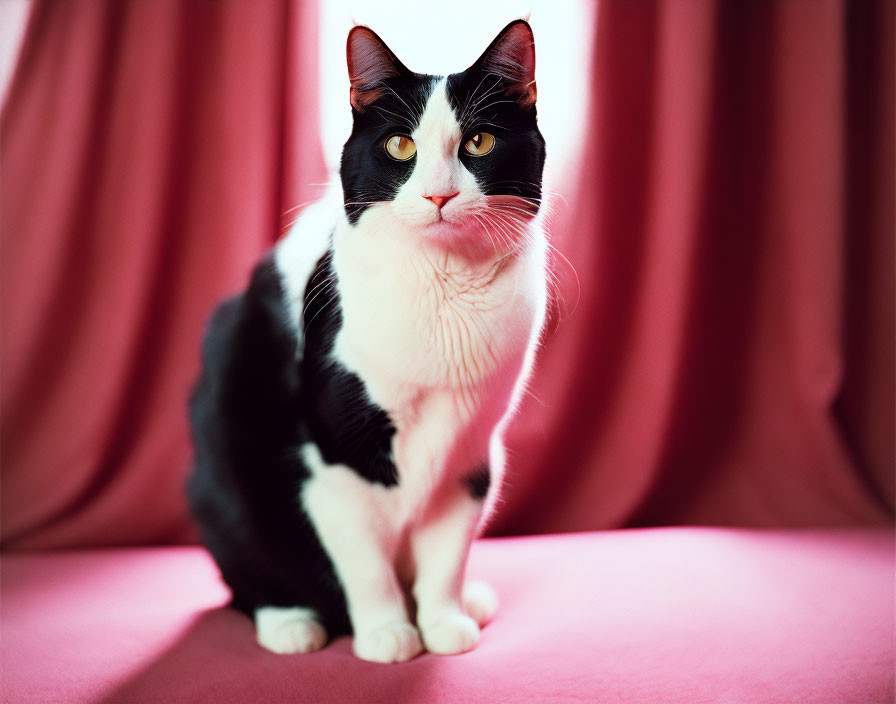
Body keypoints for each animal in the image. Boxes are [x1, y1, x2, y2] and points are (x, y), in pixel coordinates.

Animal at [189, 19, 544, 664]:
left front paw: (443, 620)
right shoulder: (335, 458)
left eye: (479, 142)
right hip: (219, 465)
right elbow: (363, 560)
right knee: (247, 573)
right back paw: (291, 623)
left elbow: (447, 551)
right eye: (401, 146)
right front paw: (387, 632)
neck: (446, 290)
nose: (438, 194)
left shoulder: (472, 453)